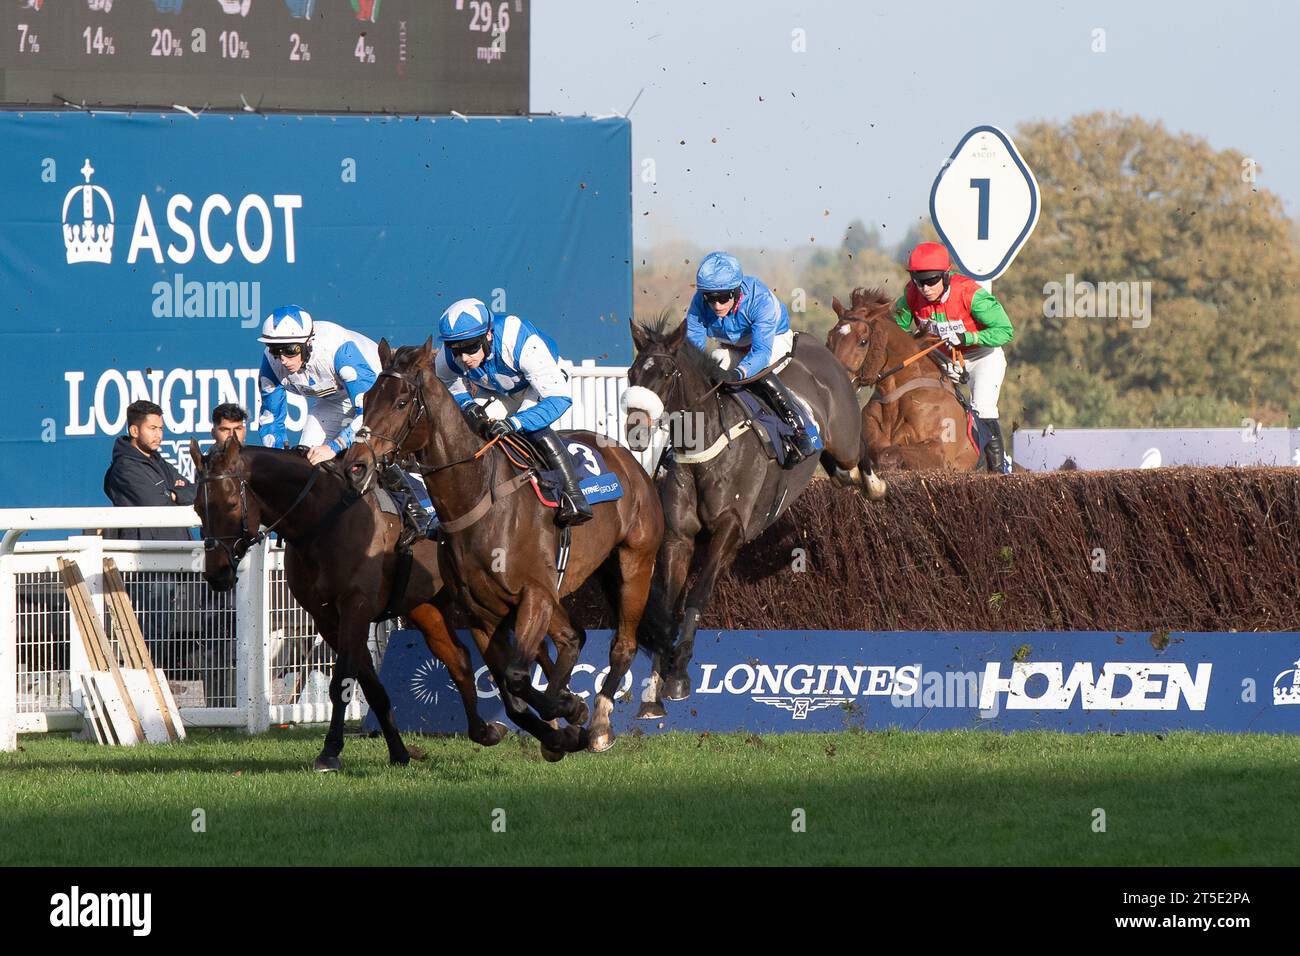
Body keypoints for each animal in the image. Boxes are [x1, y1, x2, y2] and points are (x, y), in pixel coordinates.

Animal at [189, 437, 509, 775]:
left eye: (231, 504)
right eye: (197, 507)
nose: (217, 573)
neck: (322, 520)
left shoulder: (355, 608)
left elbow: (342, 680)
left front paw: (330, 751)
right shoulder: (326, 618)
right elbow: (372, 686)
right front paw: (399, 752)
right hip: (427, 605)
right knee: (458, 658)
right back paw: (484, 730)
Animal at [340, 338, 665, 754]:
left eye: (400, 402)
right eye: (365, 399)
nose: (356, 467)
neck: (477, 501)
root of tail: (628, 458)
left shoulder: (534, 595)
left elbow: (516, 677)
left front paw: (570, 711)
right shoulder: (483, 614)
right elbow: (512, 697)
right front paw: (558, 723)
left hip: (634, 563)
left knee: (621, 644)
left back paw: (599, 724)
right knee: (570, 638)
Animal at [618, 310, 883, 712]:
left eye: (665, 373)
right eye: (633, 374)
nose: (635, 429)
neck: (706, 447)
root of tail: (813, 344)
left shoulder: (731, 528)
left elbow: (697, 596)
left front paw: (678, 677)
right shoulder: (678, 538)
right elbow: (666, 607)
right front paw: (654, 688)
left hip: (845, 439)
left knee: (859, 452)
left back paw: (874, 483)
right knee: (839, 473)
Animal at [826, 290, 977, 473]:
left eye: (863, 342)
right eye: (830, 339)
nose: (835, 380)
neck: (895, 394)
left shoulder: (940, 452)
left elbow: (888, 453)